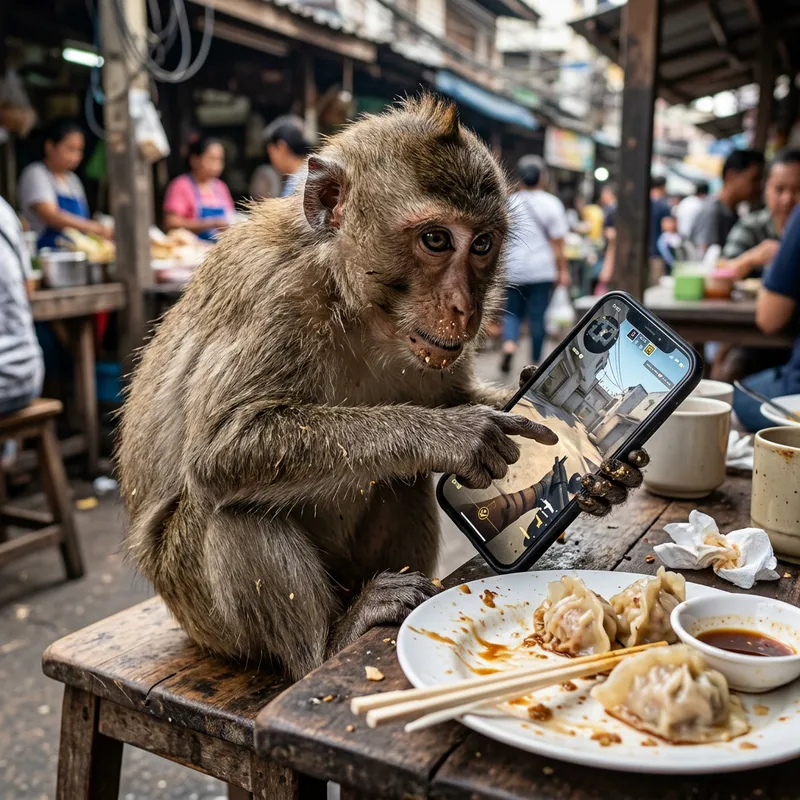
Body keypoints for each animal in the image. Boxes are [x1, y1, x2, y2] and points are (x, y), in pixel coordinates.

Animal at [117, 96, 646, 681]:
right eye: (436, 239)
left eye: (483, 244)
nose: (466, 309)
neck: (354, 304)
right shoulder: (274, 296)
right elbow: (221, 449)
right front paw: (456, 435)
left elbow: (449, 401)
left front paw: (605, 477)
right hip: (198, 610)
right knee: (232, 510)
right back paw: (332, 640)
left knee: (399, 478)